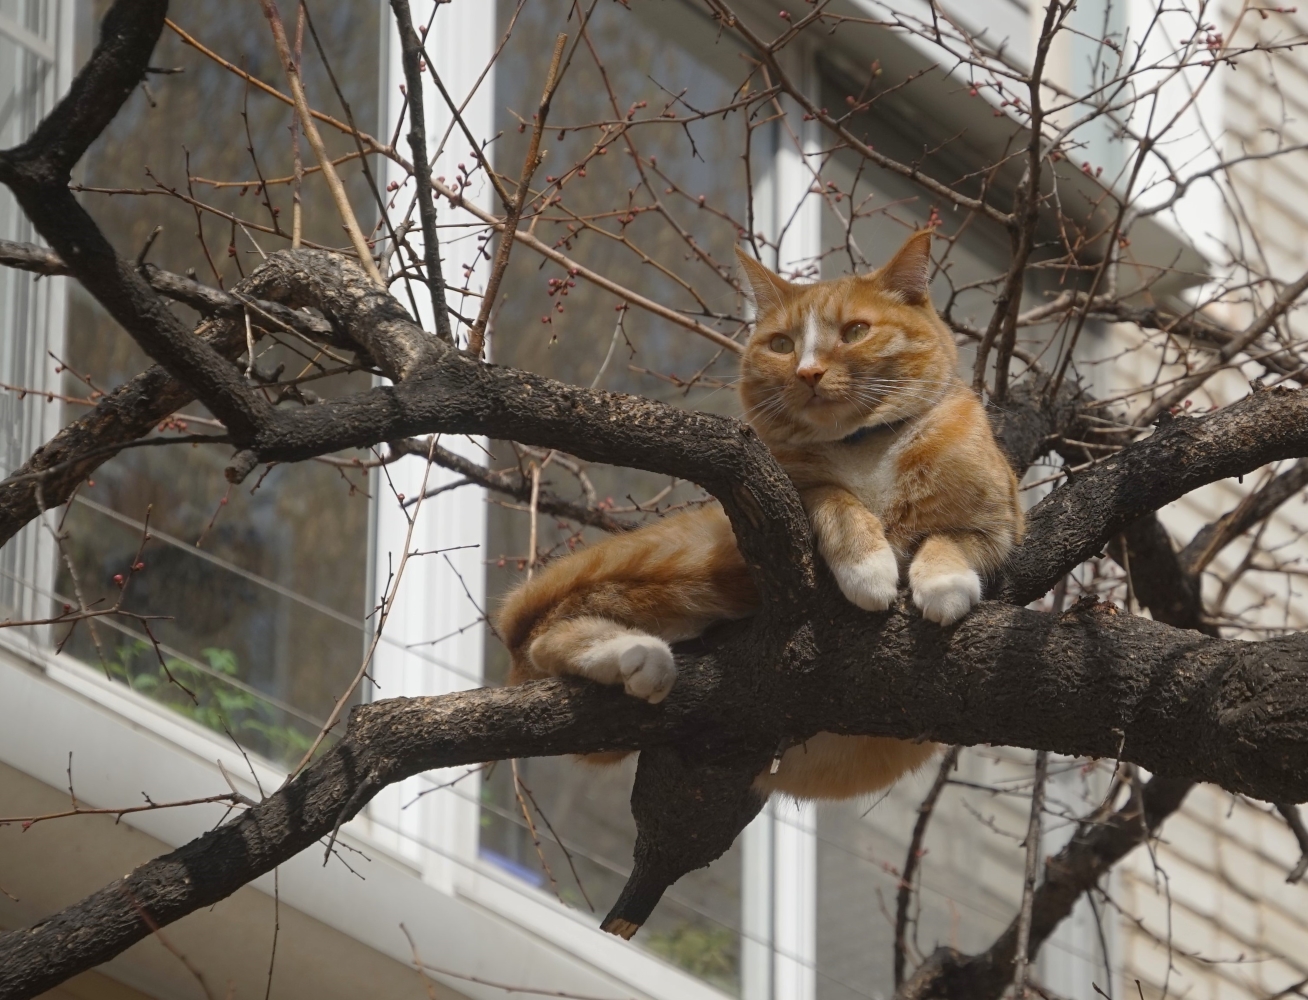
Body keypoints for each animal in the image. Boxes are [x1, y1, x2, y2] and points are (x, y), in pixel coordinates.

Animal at [497, 230, 1020, 800]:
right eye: (782, 345)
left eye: (856, 332)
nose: (808, 372)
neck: (863, 447)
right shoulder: (789, 484)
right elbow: (832, 497)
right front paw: (869, 567)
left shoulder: (1004, 521)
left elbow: (951, 538)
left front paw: (943, 584)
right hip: (698, 569)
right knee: (543, 638)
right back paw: (639, 656)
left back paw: (642, 660)